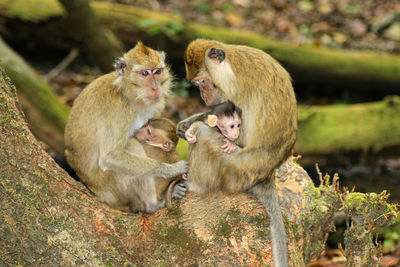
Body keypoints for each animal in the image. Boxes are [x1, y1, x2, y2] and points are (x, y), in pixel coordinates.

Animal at [65, 41, 188, 214]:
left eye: (157, 72)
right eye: (144, 73)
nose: (155, 88)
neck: (130, 95)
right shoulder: (119, 110)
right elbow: (110, 156)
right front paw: (171, 170)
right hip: (110, 186)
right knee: (131, 145)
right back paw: (152, 204)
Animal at [178, 38, 296, 266]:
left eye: (202, 81)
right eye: (197, 84)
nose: (204, 97)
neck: (233, 66)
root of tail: (267, 176)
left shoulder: (237, 90)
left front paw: (195, 124)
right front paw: (187, 122)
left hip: (235, 172)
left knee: (204, 134)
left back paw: (193, 185)